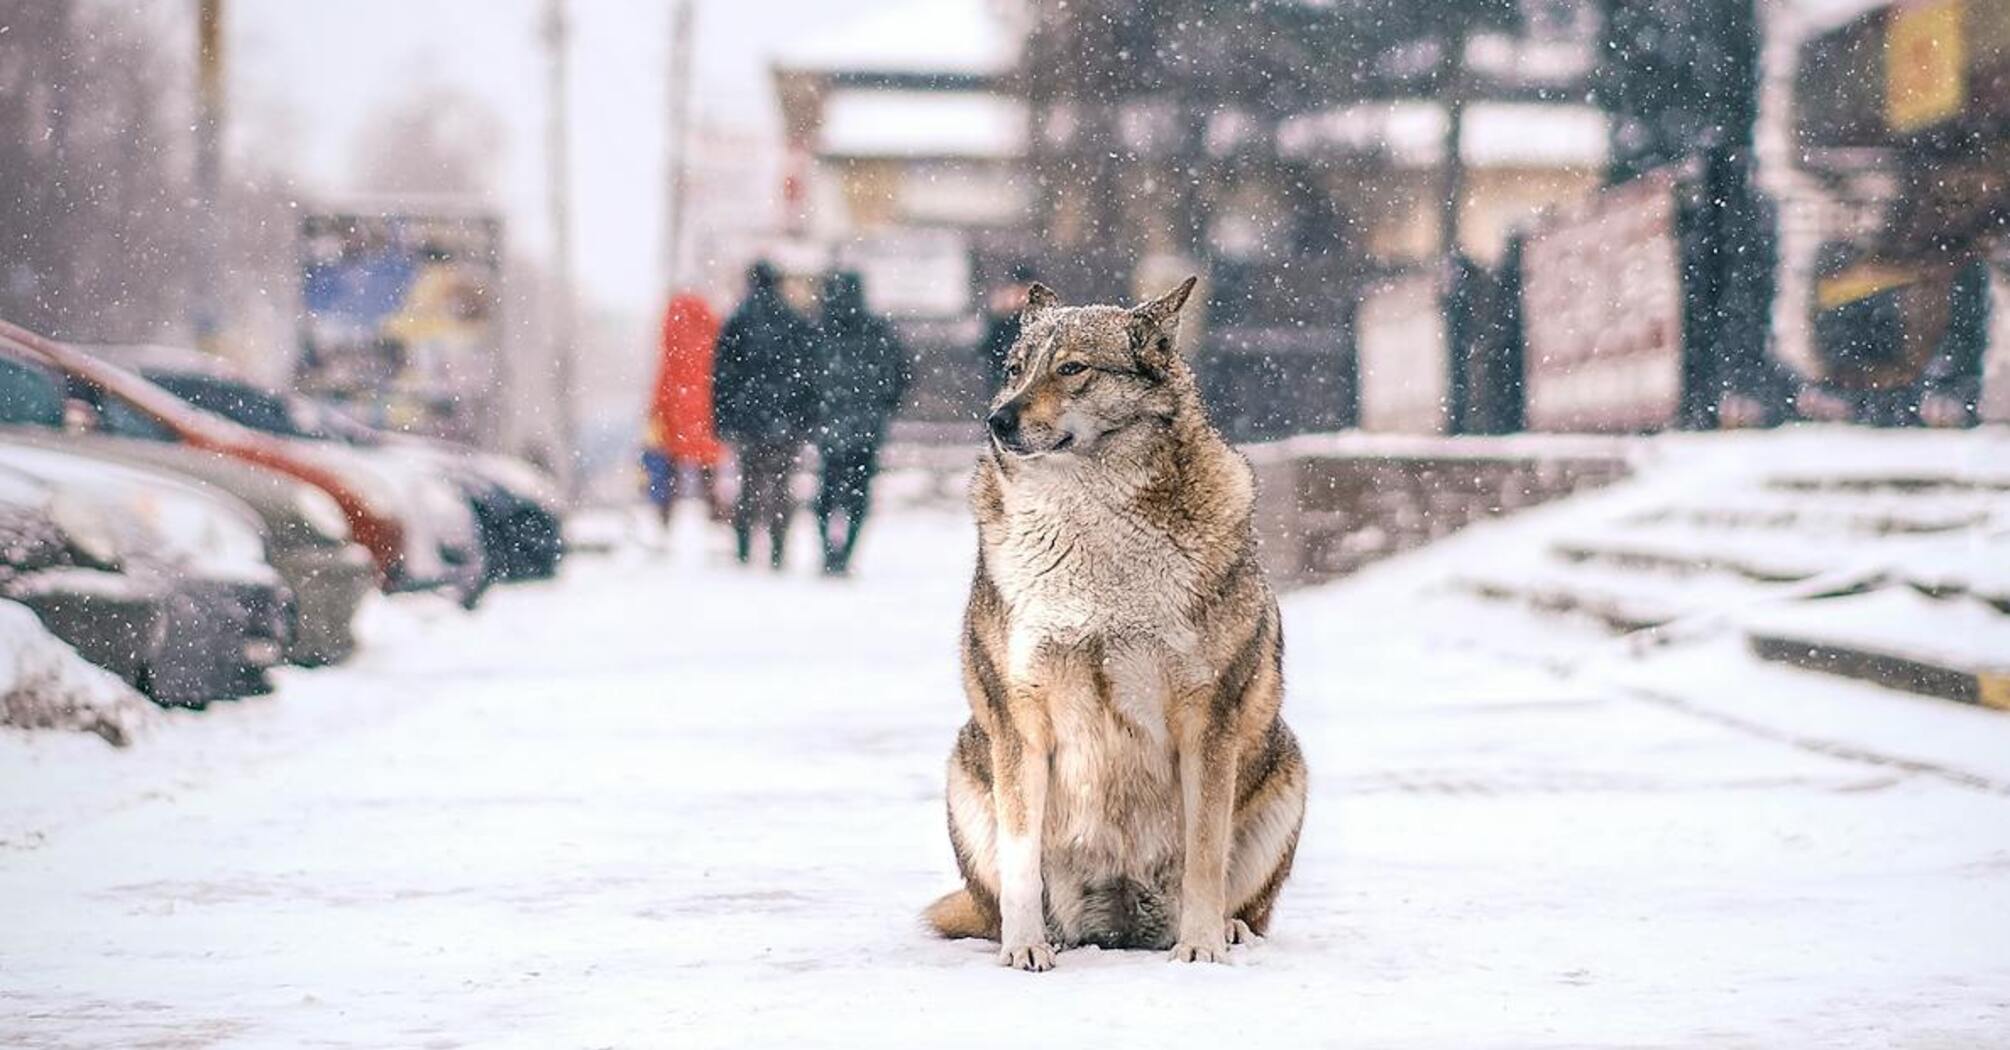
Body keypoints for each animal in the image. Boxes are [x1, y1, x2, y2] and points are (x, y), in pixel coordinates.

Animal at [920, 275, 1310, 965]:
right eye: (1015, 370)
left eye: (1073, 368)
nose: (998, 419)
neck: (1093, 531)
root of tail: (1120, 928)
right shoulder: (1020, 719)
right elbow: (1021, 863)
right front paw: (1025, 951)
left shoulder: (1208, 719)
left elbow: (1205, 855)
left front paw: (1201, 947)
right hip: (968, 760)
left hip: (1289, 765)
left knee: (1250, 907)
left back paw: (1227, 931)